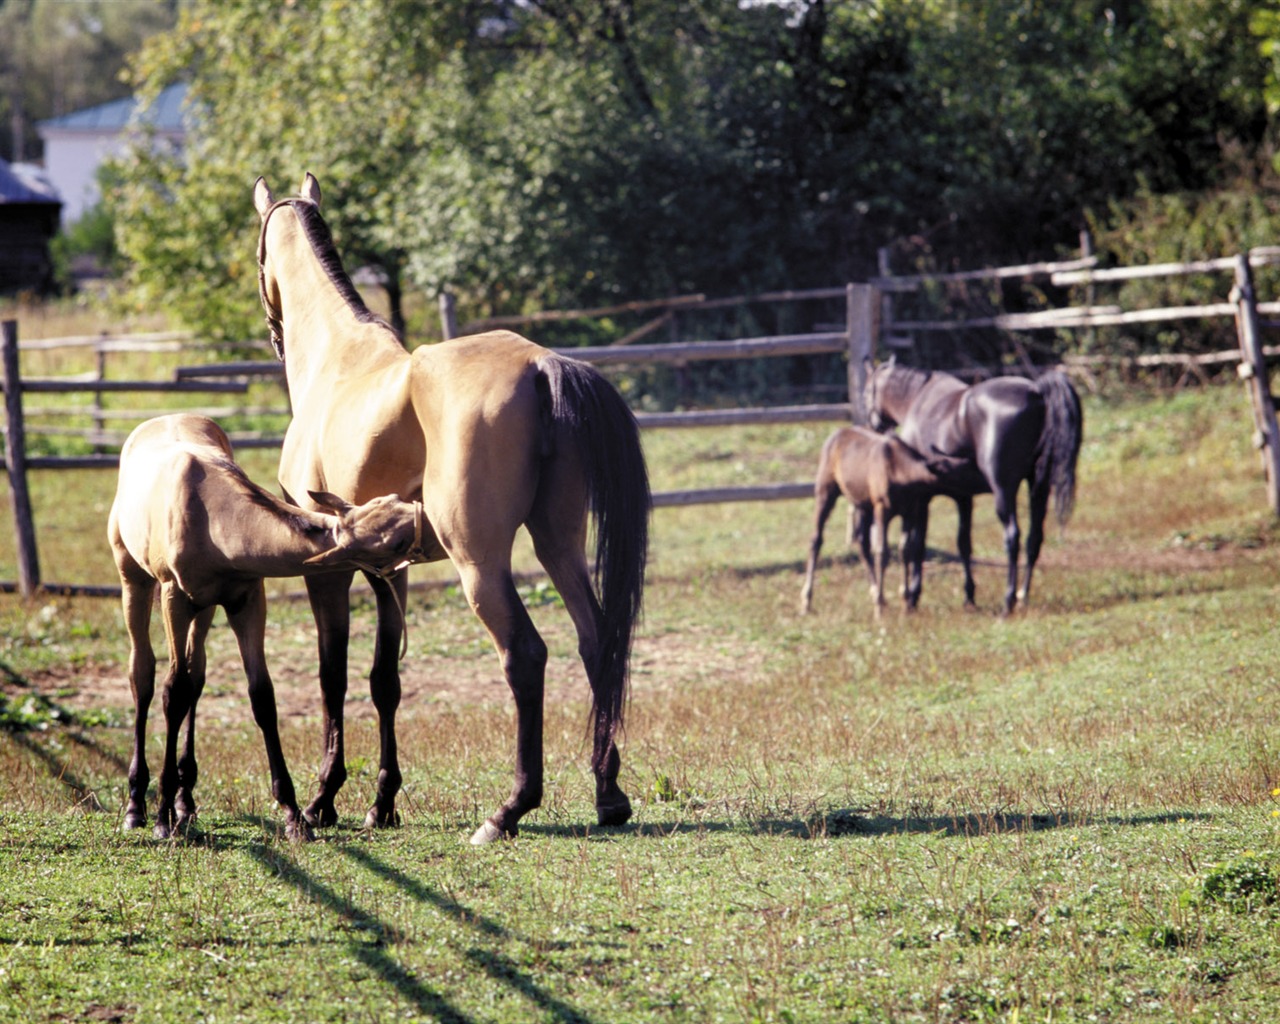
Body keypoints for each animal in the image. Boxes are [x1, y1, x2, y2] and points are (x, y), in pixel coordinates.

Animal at [106, 414, 424, 839]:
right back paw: (138, 803)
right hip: (135, 580)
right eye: (396, 540)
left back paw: (185, 801)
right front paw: (161, 816)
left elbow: (261, 696)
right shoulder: (175, 598)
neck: (210, 516)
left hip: (205, 610)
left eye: (394, 502)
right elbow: (173, 691)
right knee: (143, 675)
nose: (428, 517)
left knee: (196, 676)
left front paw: (292, 812)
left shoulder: (247, 600)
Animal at [253, 176, 650, 844]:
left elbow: (334, 675)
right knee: (596, 641)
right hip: (558, 545)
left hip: (480, 568)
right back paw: (608, 794)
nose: (275, 332)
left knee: (527, 655)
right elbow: (384, 680)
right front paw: (382, 802)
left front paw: (322, 800)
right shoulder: (391, 569)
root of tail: (539, 364)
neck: (340, 361)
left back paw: (509, 809)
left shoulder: (330, 570)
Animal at [865, 360, 1085, 616]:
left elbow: (916, 545)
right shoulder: (964, 497)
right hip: (1038, 488)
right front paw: (969, 596)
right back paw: (1022, 596)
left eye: (868, 391)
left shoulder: (922, 498)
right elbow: (964, 544)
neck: (917, 399)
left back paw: (1008, 601)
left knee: (1013, 538)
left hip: (1004, 492)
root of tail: (1036, 391)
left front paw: (913, 596)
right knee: (1034, 539)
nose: (874, 425)